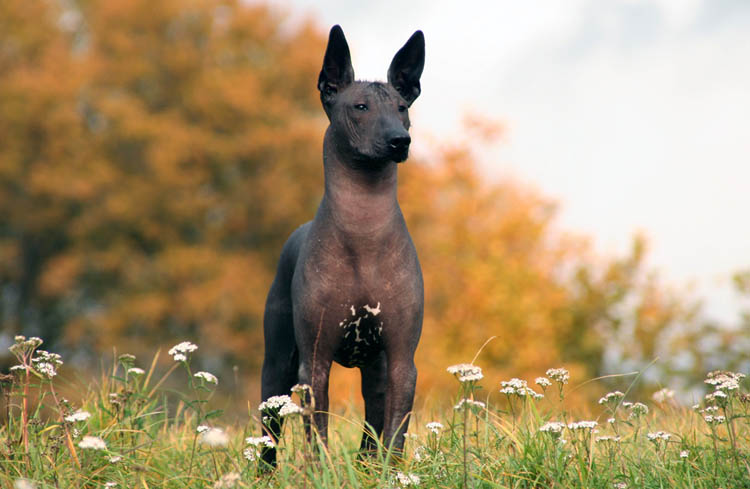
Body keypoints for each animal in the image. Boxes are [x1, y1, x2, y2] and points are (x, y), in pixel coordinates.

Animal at [262, 23, 426, 466]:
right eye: (360, 107)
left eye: (402, 107)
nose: (399, 140)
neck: (363, 231)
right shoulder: (314, 363)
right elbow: (315, 434)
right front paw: (318, 472)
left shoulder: (402, 361)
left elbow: (394, 435)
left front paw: (391, 473)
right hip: (276, 366)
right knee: (268, 430)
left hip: (377, 371)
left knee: (373, 425)